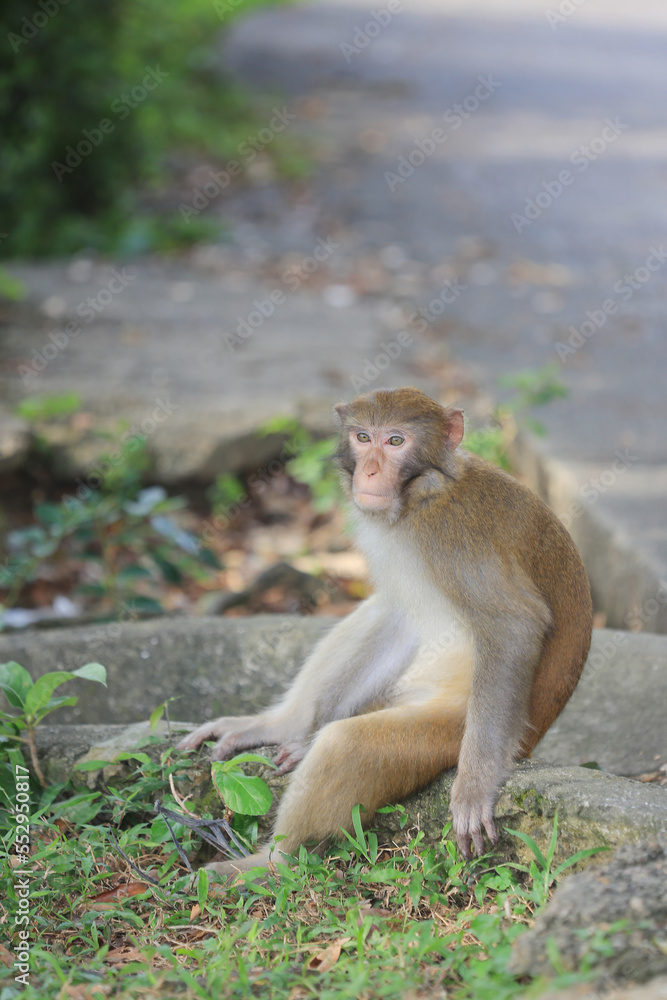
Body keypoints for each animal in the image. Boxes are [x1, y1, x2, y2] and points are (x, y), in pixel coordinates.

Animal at [178, 387, 592, 873]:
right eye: (363, 437)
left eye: (396, 441)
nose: (371, 470)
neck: (421, 496)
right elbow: (400, 617)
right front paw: (303, 734)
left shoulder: (454, 538)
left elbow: (515, 625)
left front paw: (475, 786)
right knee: (377, 616)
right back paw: (284, 725)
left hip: (446, 731)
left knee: (347, 744)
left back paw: (270, 863)